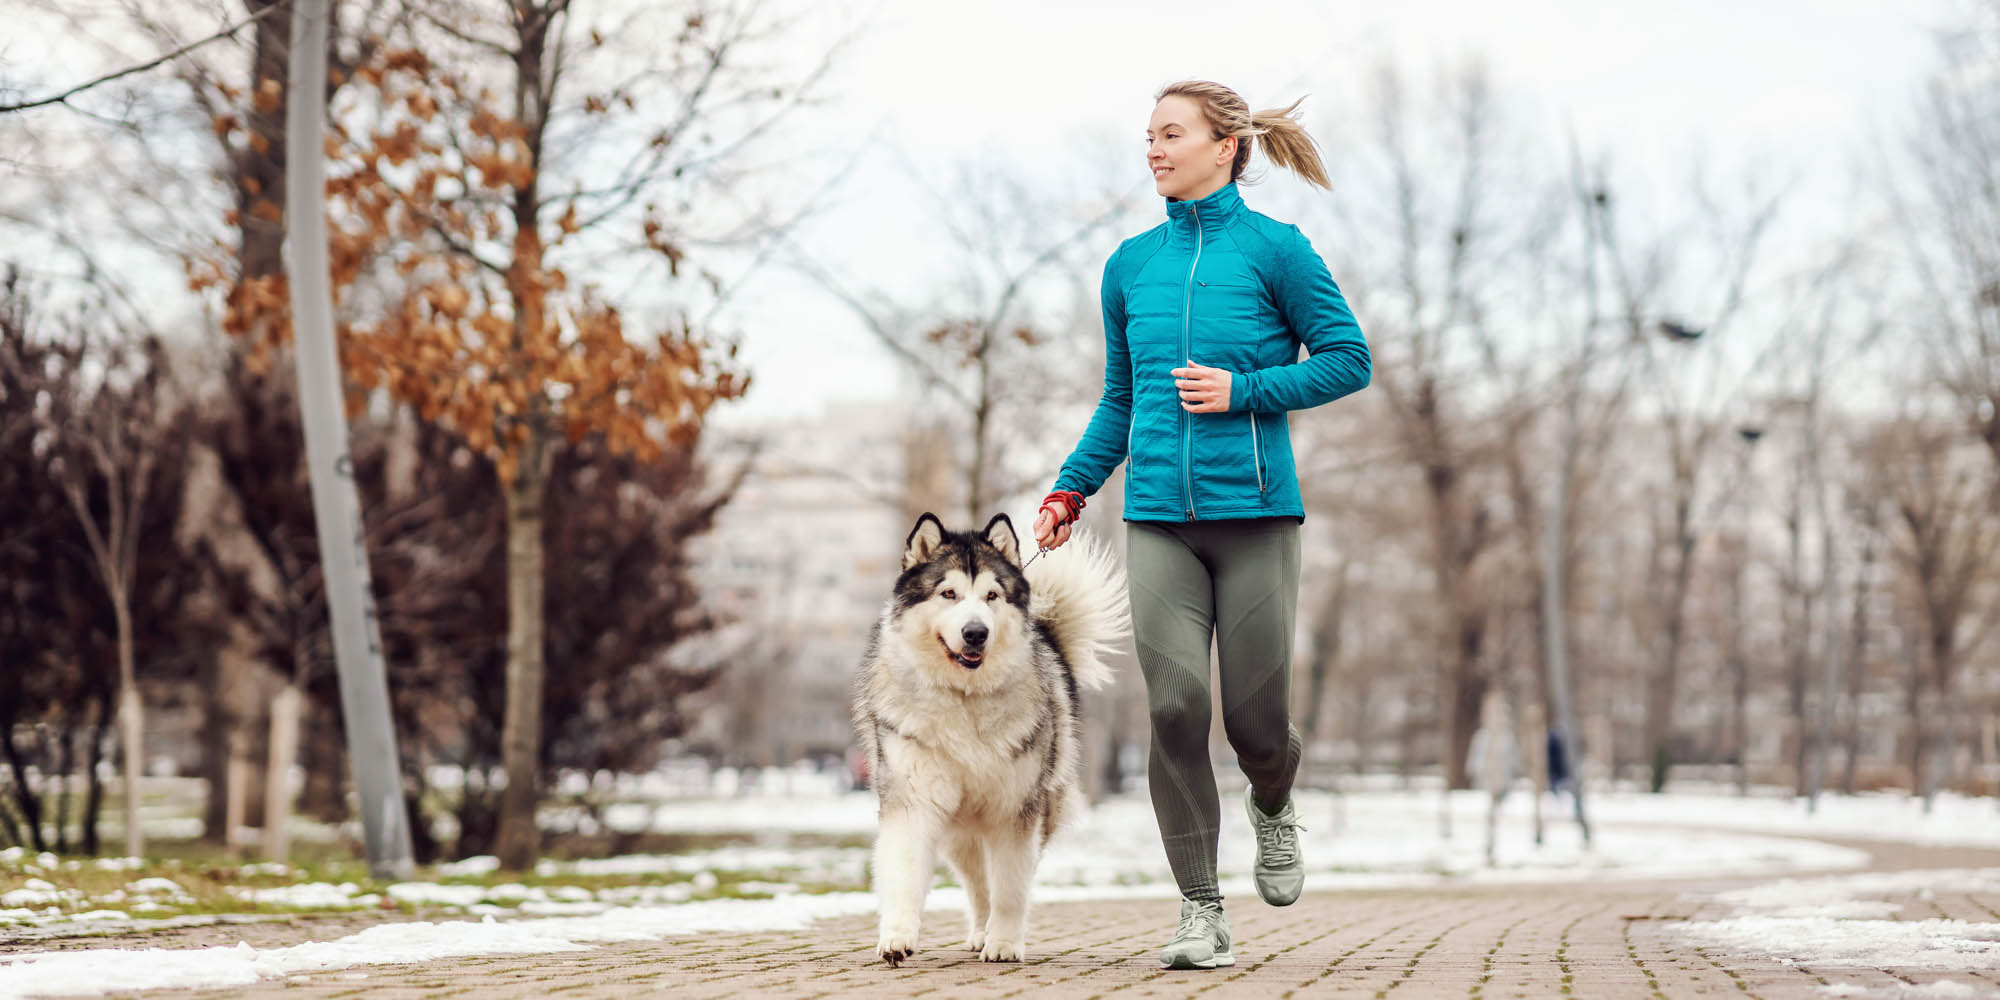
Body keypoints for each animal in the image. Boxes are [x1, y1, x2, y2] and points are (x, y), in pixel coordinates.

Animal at [844, 512, 1128, 964]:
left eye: (992, 595)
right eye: (949, 593)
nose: (975, 632)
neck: (964, 697)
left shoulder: (1015, 811)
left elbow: (1010, 888)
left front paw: (1006, 943)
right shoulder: (912, 800)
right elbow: (905, 873)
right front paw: (897, 938)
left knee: (995, 881)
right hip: (960, 832)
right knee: (977, 883)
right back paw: (979, 931)